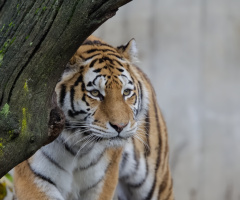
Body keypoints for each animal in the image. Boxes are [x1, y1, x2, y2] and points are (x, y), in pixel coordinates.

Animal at [13, 35, 174, 199]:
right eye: (95, 93)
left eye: (127, 92)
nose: (120, 126)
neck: (77, 147)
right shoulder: (33, 177)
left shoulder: (103, 181)